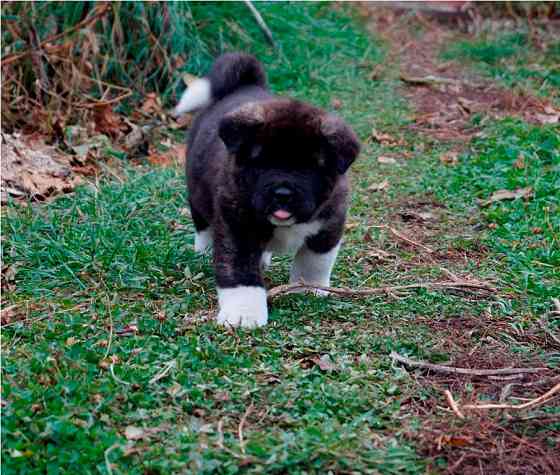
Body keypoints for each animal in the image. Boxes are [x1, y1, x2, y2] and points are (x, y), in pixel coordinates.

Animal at [174, 52, 358, 328]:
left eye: (309, 168)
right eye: (261, 163)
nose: (282, 194)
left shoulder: (330, 223)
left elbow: (314, 261)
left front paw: (309, 289)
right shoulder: (236, 229)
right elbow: (241, 275)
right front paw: (244, 313)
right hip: (196, 193)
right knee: (203, 224)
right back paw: (204, 250)